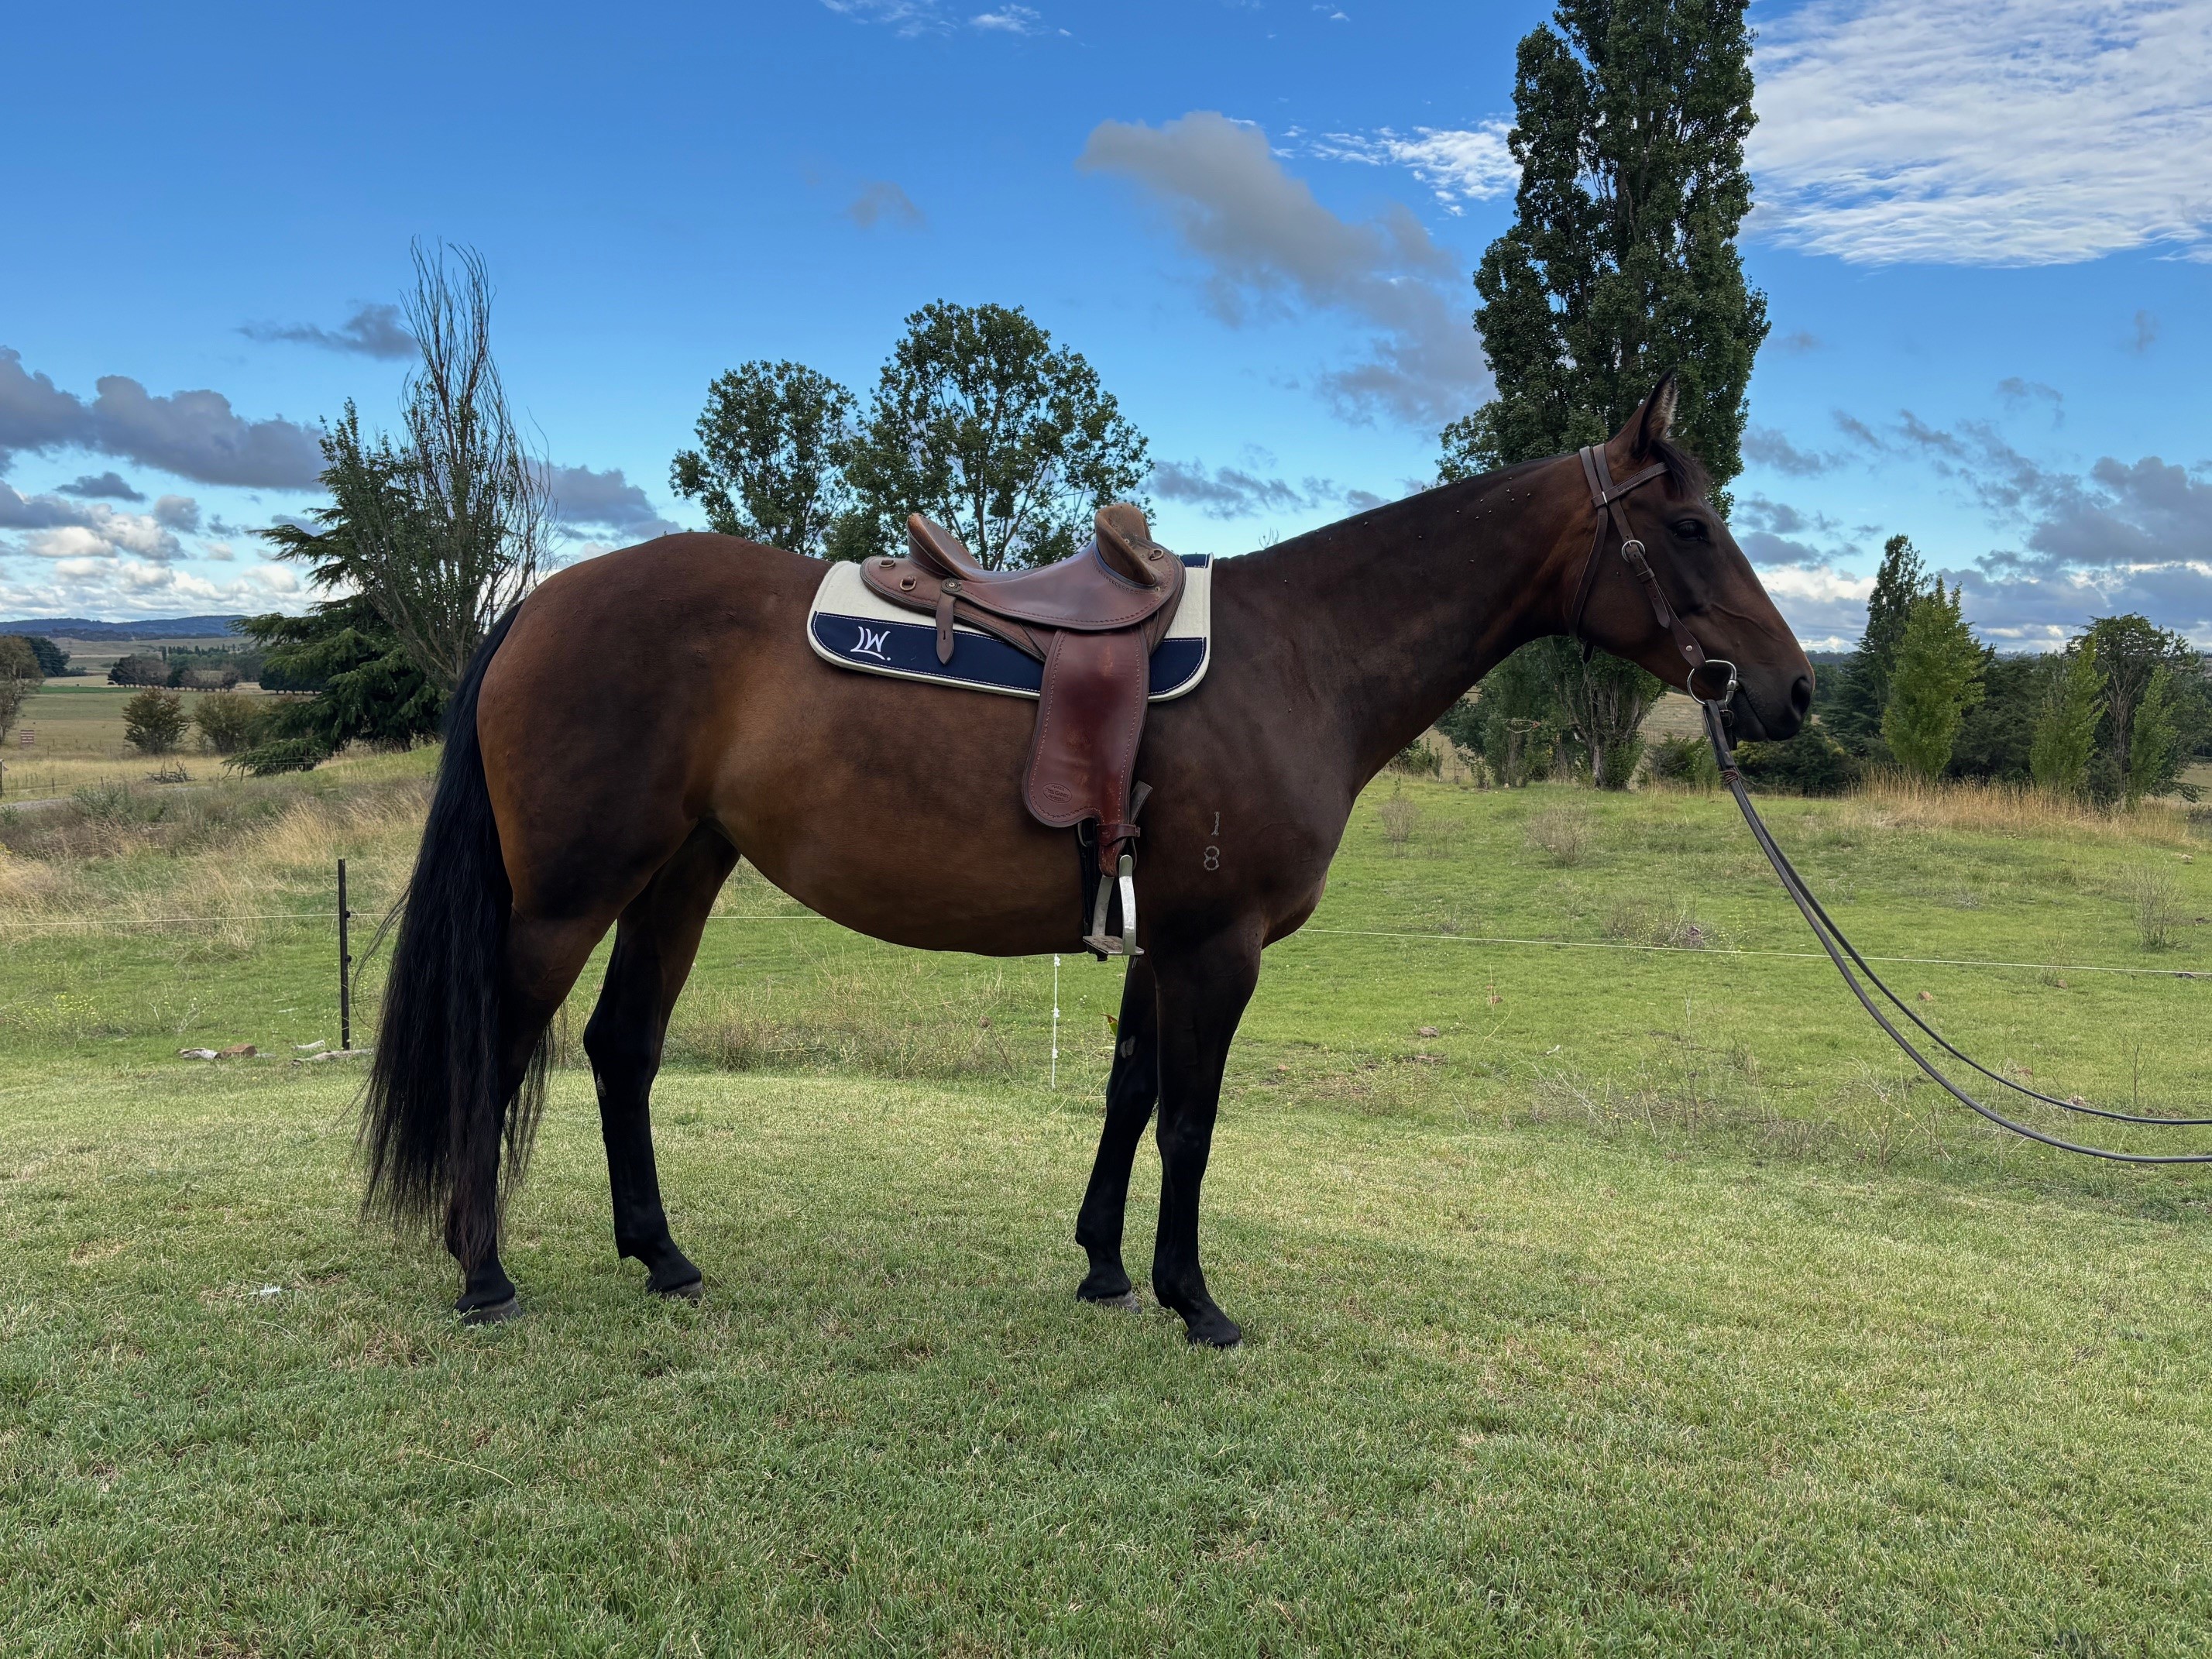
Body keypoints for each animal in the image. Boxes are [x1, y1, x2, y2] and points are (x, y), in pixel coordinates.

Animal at [362, 374, 1812, 1345]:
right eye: (1690, 528)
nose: (1791, 691)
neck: (1305, 657)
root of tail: (538, 603)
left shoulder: (1158, 939)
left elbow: (1127, 1094)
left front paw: (1109, 1268)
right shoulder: (1218, 948)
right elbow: (1191, 1118)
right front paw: (1195, 1298)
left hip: (680, 873)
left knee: (622, 1047)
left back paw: (661, 1256)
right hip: (569, 894)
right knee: (500, 1045)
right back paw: (483, 1273)